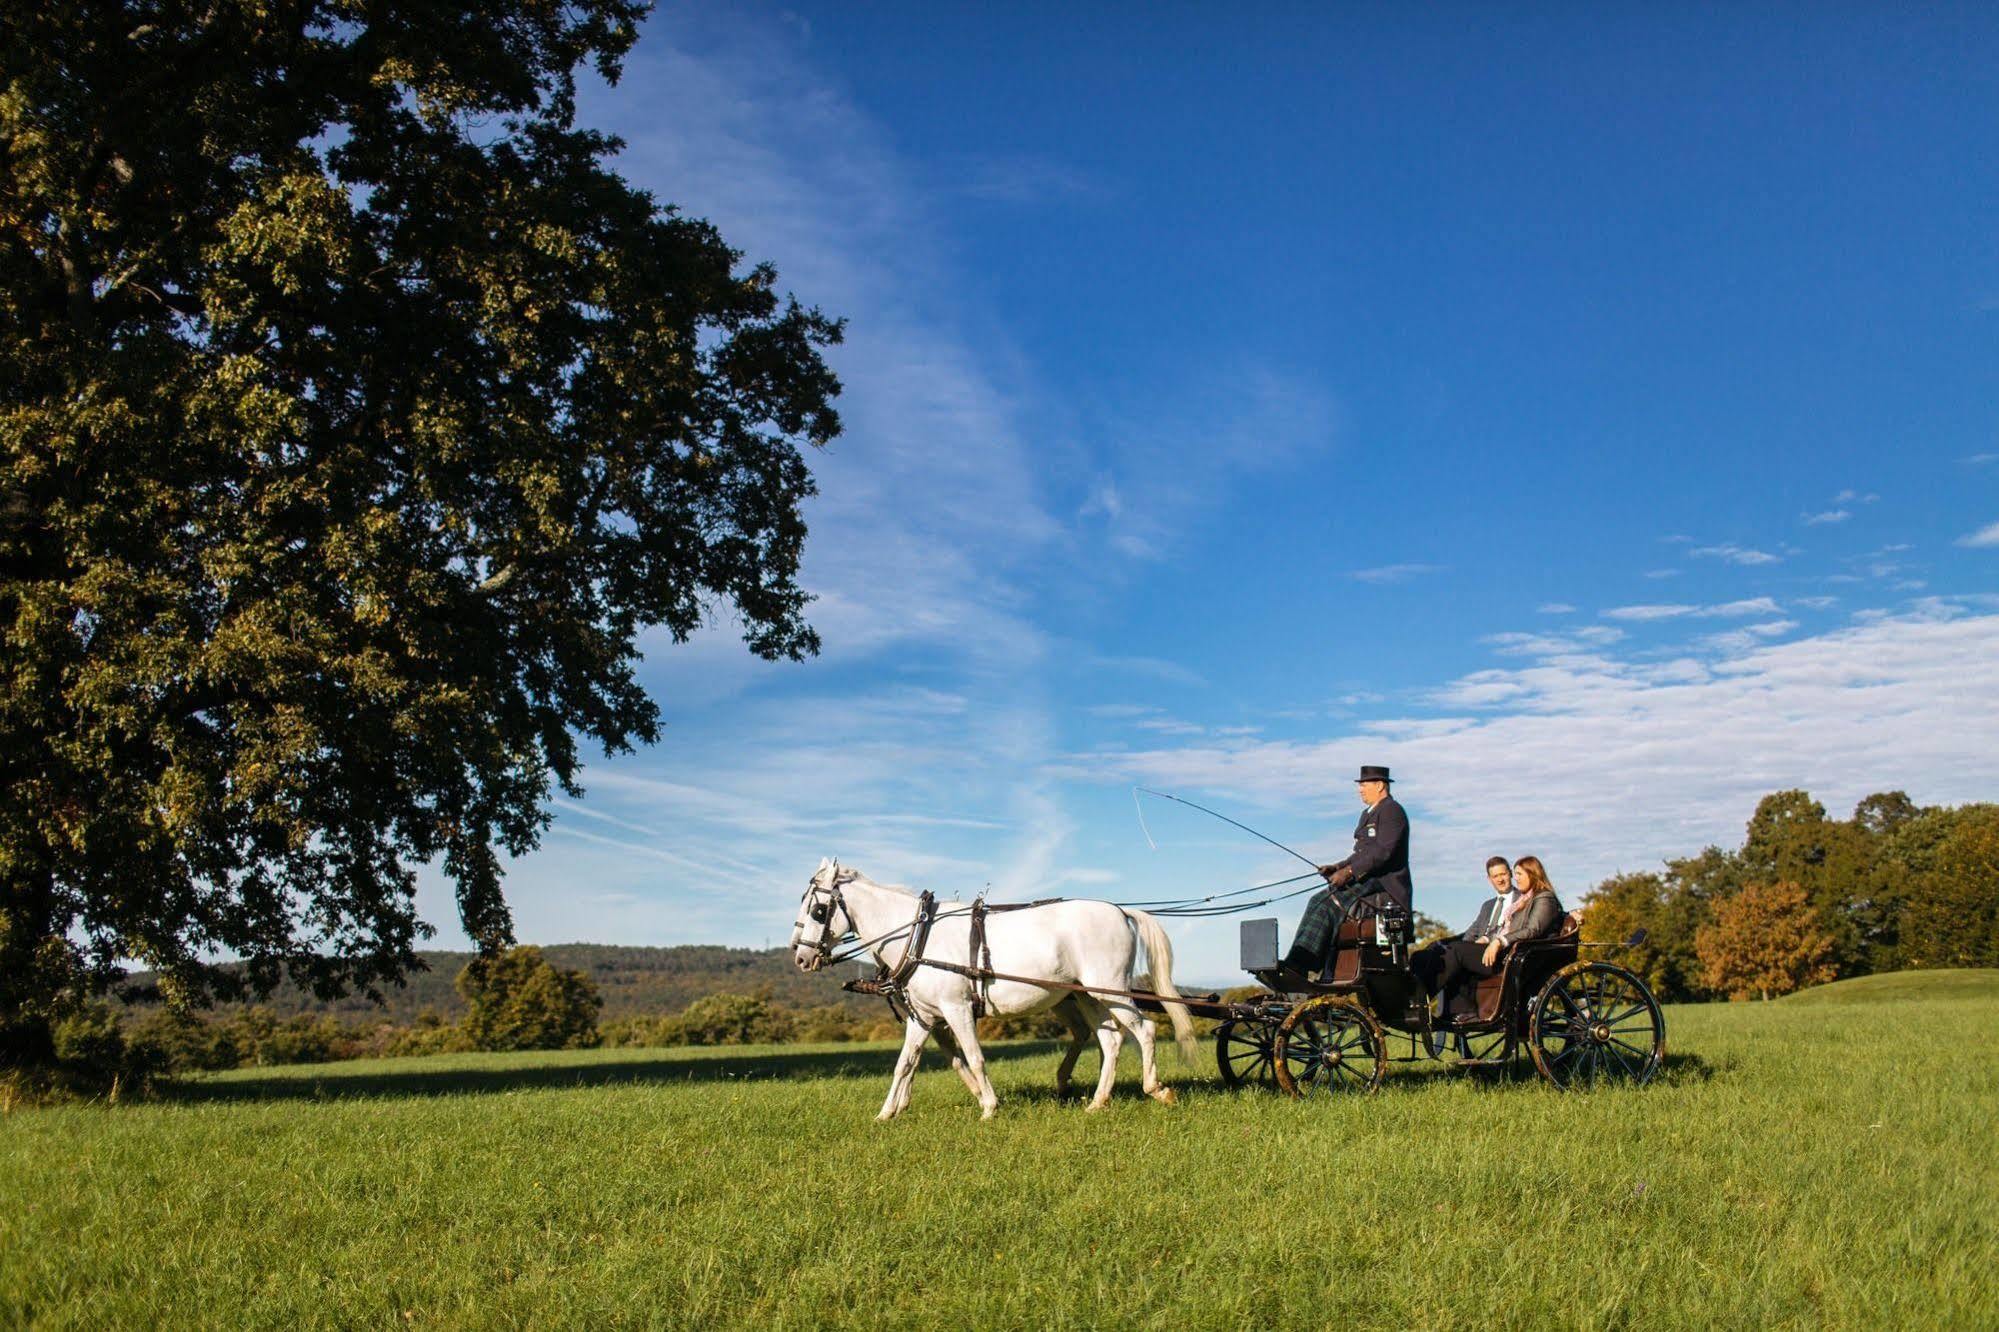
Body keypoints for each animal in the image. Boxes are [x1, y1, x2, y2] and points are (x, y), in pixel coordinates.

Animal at [779, 856, 1191, 1112]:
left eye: (817, 910)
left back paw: (1156, 1089)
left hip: (1110, 989)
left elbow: (974, 1057)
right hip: (1088, 996)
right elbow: (905, 1063)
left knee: (1145, 1030)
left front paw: (989, 1107)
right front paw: (887, 1113)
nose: (800, 957)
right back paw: (1097, 1102)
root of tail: (1121, 910)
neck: (918, 936)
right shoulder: (923, 1017)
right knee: (1110, 1040)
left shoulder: (956, 1009)